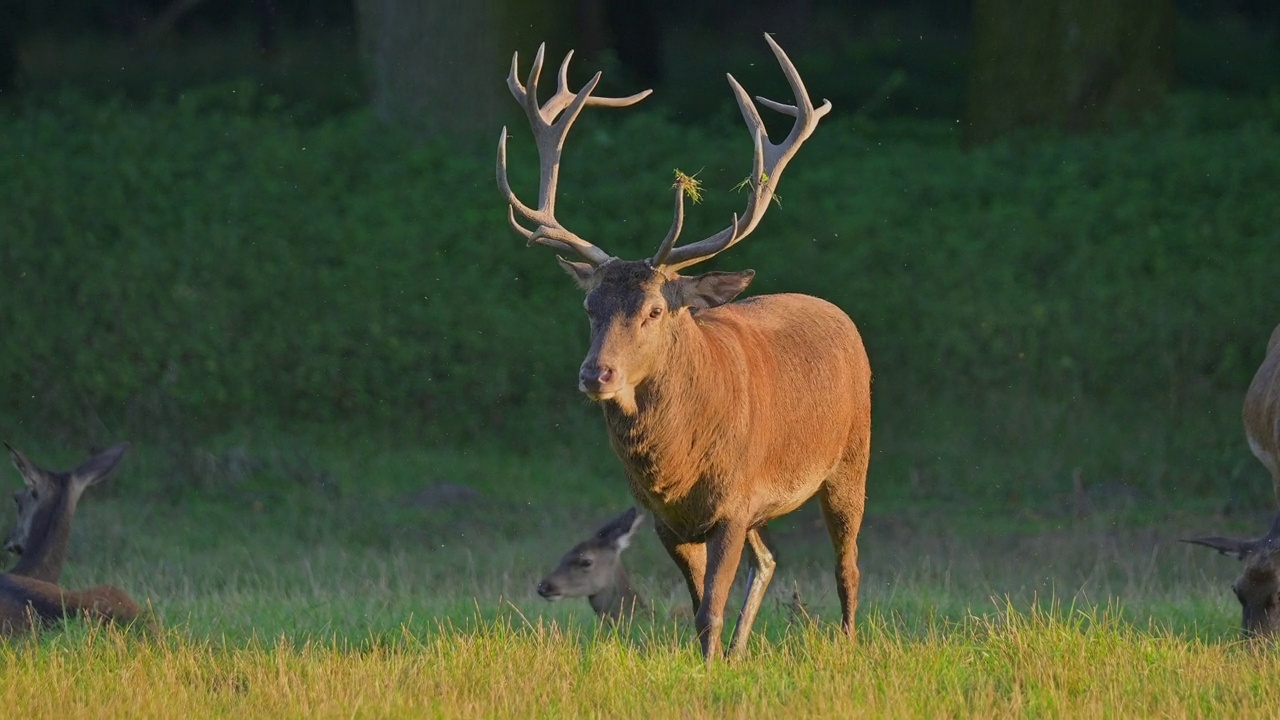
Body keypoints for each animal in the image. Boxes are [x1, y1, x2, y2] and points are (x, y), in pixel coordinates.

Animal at [496, 36, 870, 661]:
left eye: (653, 310)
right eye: (589, 306)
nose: (596, 374)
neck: (678, 463)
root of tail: (839, 313)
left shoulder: (734, 503)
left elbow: (710, 607)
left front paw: (713, 665)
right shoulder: (670, 520)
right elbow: (700, 607)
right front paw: (715, 661)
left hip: (850, 459)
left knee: (848, 565)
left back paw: (847, 645)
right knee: (768, 561)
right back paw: (744, 651)